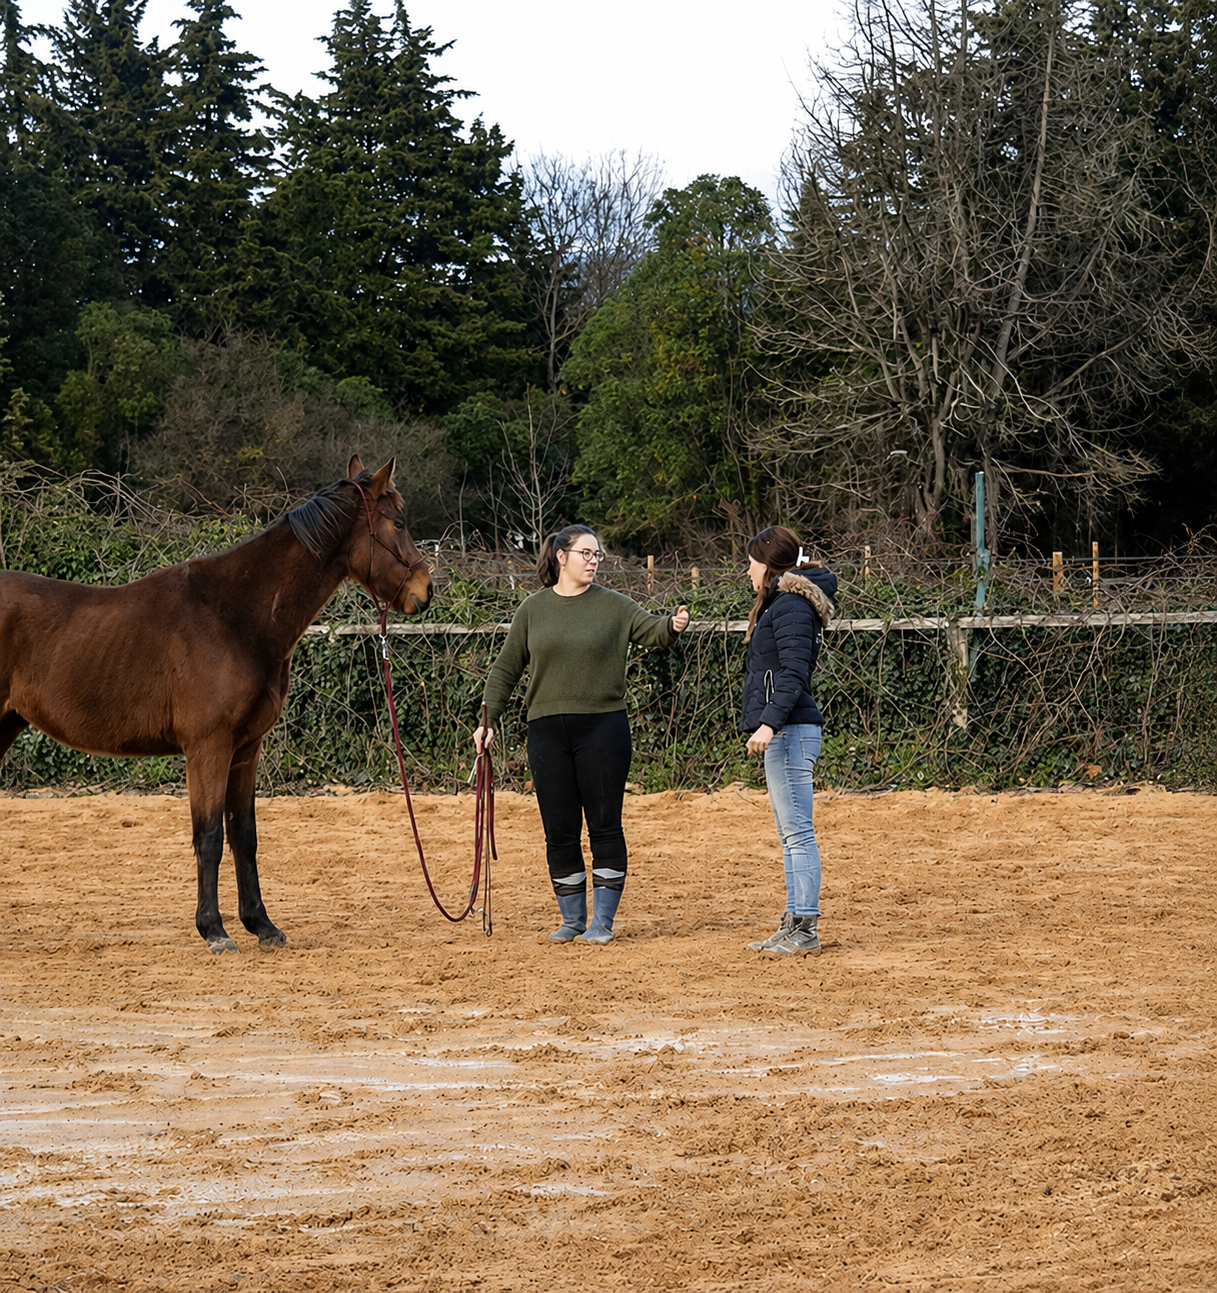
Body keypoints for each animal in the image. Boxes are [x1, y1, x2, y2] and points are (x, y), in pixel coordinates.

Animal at [0, 456, 433, 952]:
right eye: (398, 522)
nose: (426, 590)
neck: (235, 614)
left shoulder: (246, 748)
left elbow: (244, 835)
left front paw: (261, 924)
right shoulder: (209, 746)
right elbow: (208, 835)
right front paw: (214, 930)